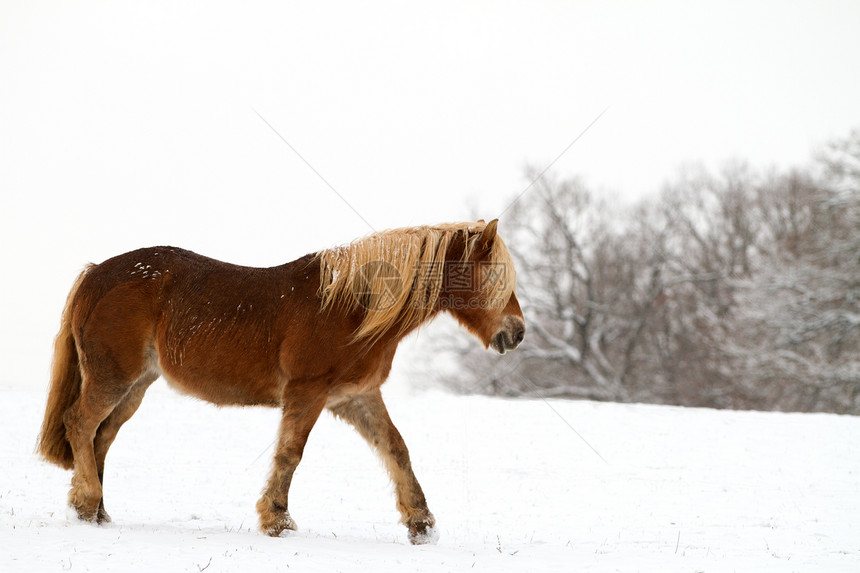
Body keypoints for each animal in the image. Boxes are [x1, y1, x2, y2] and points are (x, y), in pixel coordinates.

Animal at [37, 217, 524, 544]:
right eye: (495, 274)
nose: (517, 333)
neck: (353, 306)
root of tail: (96, 274)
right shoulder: (308, 392)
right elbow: (290, 454)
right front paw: (277, 519)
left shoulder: (356, 397)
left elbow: (396, 449)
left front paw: (421, 524)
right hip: (112, 378)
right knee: (80, 424)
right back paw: (87, 502)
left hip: (135, 386)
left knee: (100, 437)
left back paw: (96, 512)